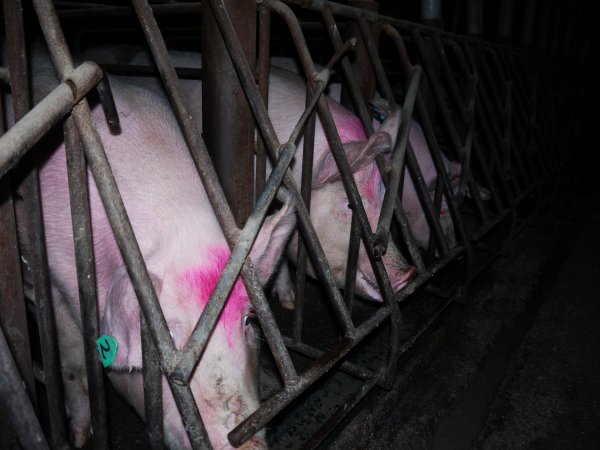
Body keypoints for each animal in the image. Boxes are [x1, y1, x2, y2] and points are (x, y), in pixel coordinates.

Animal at [16, 45, 296, 446]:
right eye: (172, 338)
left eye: (248, 320)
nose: (244, 444)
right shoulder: (55, 277)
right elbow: (72, 363)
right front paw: (80, 437)